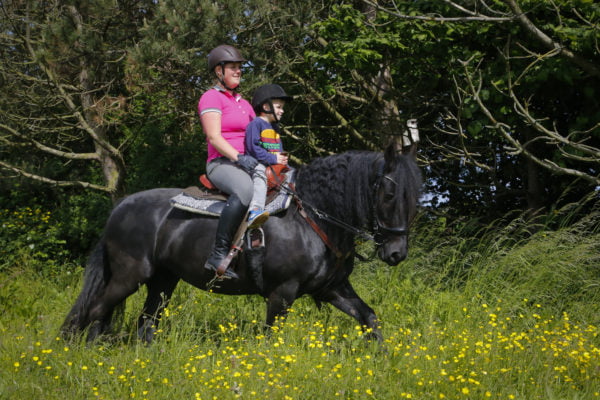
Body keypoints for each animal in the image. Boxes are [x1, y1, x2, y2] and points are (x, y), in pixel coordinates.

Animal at [61, 142, 422, 342]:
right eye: (389, 194)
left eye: (414, 197)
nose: (396, 253)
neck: (312, 218)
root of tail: (120, 207)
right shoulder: (282, 293)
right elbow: (271, 338)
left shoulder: (331, 288)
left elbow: (369, 318)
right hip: (130, 276)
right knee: (93, 312)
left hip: (163, 281)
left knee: (144, 323)